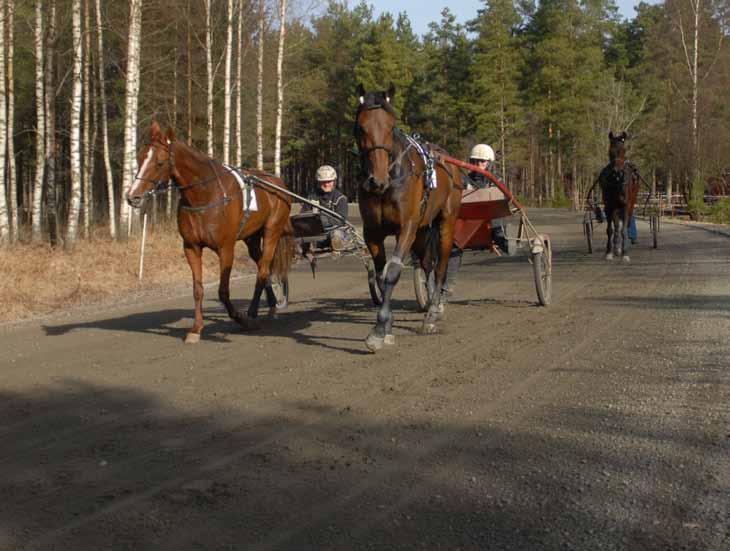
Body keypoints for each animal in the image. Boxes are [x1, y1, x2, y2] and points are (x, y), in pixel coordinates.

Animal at [126, 123, 294, 342]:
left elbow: (223, 291)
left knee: (263, 270)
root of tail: (278, 183)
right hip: (252, 238)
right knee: (261, 268)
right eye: (139, 158)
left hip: (272, 230)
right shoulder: (191, 247)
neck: (205, 195)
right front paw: (196, 329)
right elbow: (198, 289)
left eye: (160, 162)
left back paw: (252, 313)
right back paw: (272, 305)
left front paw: (241, 318)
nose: (133, 196)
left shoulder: (226, 247)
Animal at [354, 85, 460, 354]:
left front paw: (378, 330)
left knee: (441, 265)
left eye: (391, 126)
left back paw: (432, 313)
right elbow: (380, 275)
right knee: (428, 263)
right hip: (422, 232)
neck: (390, 181)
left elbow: (391, 272)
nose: (376, 180)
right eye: (361, 127)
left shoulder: (407, 228)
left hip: (446, 222)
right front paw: (387, 326)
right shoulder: (372, 232)